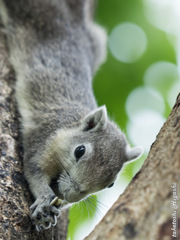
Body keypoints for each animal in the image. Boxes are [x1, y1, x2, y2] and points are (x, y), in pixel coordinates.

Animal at [0, 0, 142, 232]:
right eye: (79, 151)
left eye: (111, 184)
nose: (71, 195)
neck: (69, 123)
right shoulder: (42, 139)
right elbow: (34, 172)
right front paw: (44, 201)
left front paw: (58, 204)